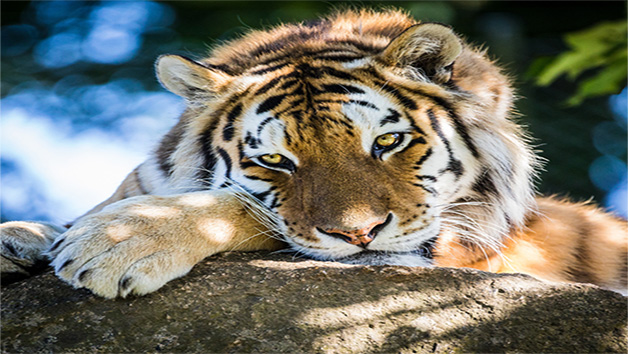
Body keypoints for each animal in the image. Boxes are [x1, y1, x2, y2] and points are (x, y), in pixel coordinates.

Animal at [2, 8, 624, 298]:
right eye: (275, 161)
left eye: (387, 142)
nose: (360, 235)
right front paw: (23, 236)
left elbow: (239, 209)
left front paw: (118, 242)